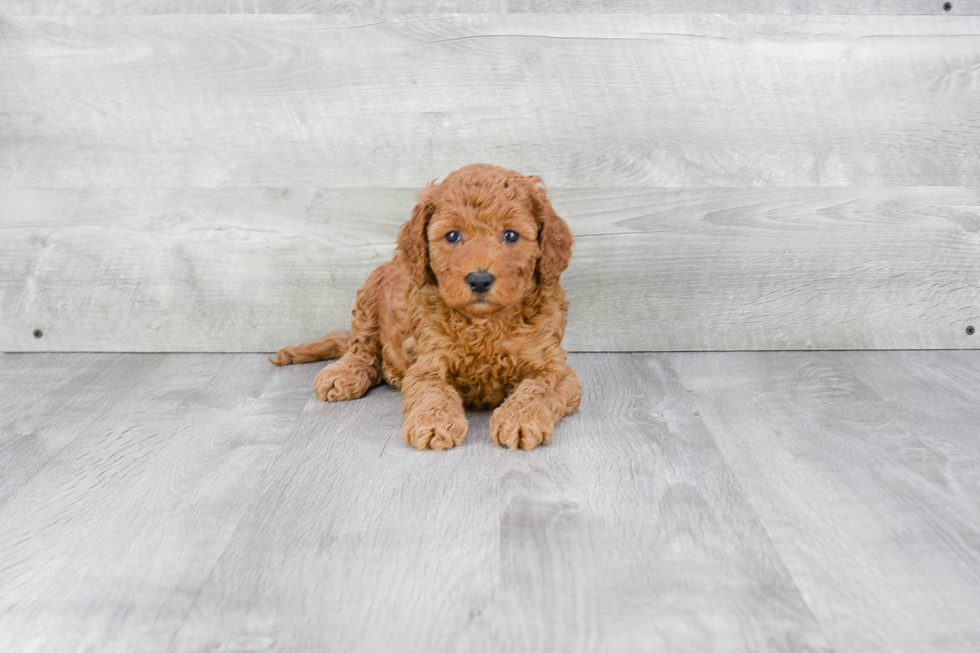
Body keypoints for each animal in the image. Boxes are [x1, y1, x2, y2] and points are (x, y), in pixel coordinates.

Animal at [268, 162, 580, 448]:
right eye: (452, 235)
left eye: (511, 235)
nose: (479, 280)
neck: (484, 323)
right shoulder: (428, 362)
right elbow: (433, 391)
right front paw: (433, 423)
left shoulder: (554, 367)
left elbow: (538, 388)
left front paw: (521, 419)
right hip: (371, 291)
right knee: (362, 350)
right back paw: (344, 374)